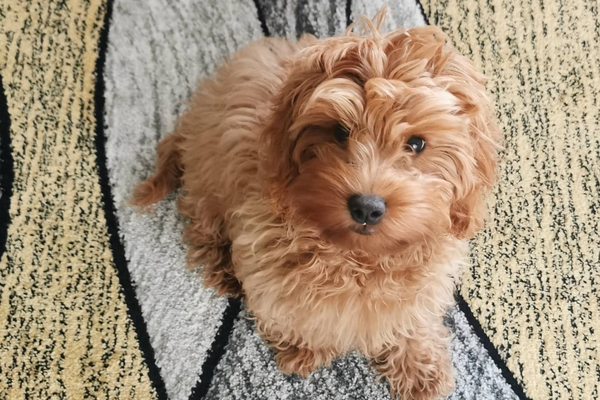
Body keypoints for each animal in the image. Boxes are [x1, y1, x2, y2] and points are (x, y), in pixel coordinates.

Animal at [132, 9, 502, 400]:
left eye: (416, 144)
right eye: (339, 132)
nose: (367, 207)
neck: (357, 257)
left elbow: (411, 317)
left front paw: (420, 365)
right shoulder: (265, 261)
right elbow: (295, 314)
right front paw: (305, 347)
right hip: (209, 175)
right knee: (200, 220)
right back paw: (222, 265)